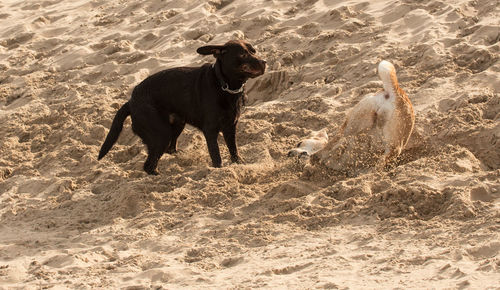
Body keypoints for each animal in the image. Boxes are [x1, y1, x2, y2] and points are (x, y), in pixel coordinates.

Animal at [99, 39, 268, 173]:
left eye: (253, 51)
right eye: (243, 54)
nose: (265, 62)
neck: (224, 85)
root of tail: (131, 102)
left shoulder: (230, 127)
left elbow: (234, 150)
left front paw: (239, 164)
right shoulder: (210, 130)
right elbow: (216, 155)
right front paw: (219, 170)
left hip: (177, 124)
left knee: (170, 149)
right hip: (161, 134)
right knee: (149, 165)